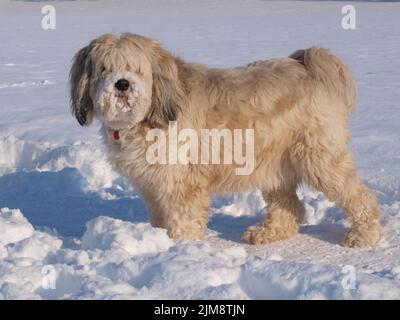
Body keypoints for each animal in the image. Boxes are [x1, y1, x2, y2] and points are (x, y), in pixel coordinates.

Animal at [69, 33, 382, 248]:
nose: (122, 84)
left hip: (319, 158)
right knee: (290, 206)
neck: (151, 115)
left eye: (136, 69)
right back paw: (269, 232)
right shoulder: (153, 186)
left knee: (360, 196)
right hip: (274, 164)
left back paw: (364, 235)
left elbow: (184, 218)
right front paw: (159, 241)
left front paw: (180, 248)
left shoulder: (182, 183)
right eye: (103, 69)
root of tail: (309, 65)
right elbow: (160, 216)